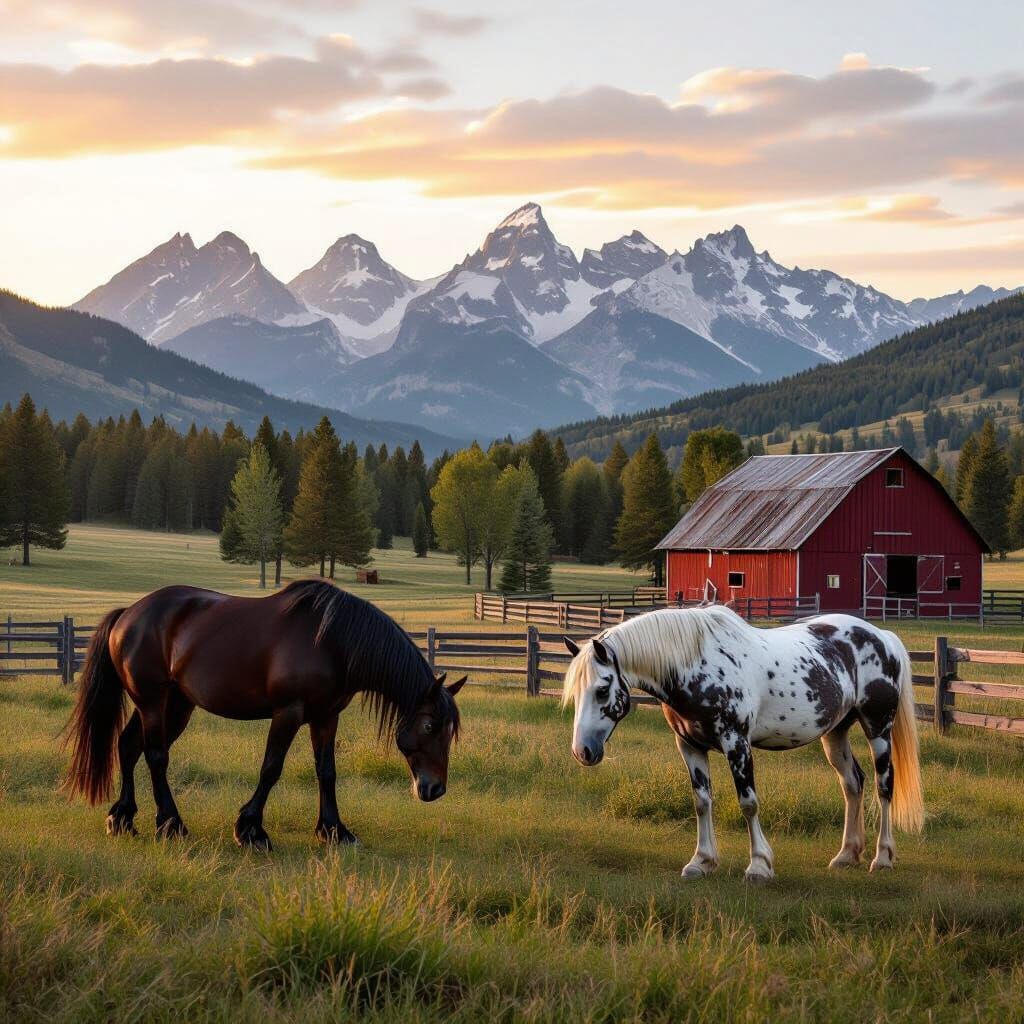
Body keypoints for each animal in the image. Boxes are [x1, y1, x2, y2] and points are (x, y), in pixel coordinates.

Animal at [63, 579, 465, 851]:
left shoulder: (326, 717)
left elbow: (327, 772)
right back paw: (171, 824)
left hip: (176, 704)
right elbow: (271, 768)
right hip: (151, 701)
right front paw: (251, 830)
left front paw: (335, 830)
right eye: (429, 725)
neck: (333, 642)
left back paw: (122, 818)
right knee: (155, 755)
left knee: (129, 746)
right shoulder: (288, 713)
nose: (434, 789)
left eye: (449, 732)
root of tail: (127, 615)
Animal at [562, 605, 923, 881]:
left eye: (602, 689)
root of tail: (882, 637)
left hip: (878, 727)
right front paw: (701, 862)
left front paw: (759, 866)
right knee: (852, 784)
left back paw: (883, 857)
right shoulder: (689, 746)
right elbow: (701, 802)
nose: (583, 752)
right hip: (835, 733)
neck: (695, 665)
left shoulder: (736, 743)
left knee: (883, 786)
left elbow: (748, 803)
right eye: (577, 690)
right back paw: (847, 855)